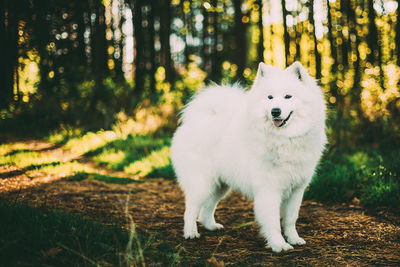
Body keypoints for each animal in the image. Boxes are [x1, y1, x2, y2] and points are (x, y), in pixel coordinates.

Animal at [170, 62, 326, 253]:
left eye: (288, 96)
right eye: (270, 97)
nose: (275, 111)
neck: (285, 138)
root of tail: (194, 122)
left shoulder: (296, 190)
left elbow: (290, 219)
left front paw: (294, 239)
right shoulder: (269, 190)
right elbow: (273, 222)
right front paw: (278, 244)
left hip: (220, 185)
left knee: (207, 208)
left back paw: (211, 226)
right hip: (203, 183)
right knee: (191, 209)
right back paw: (190, 233)